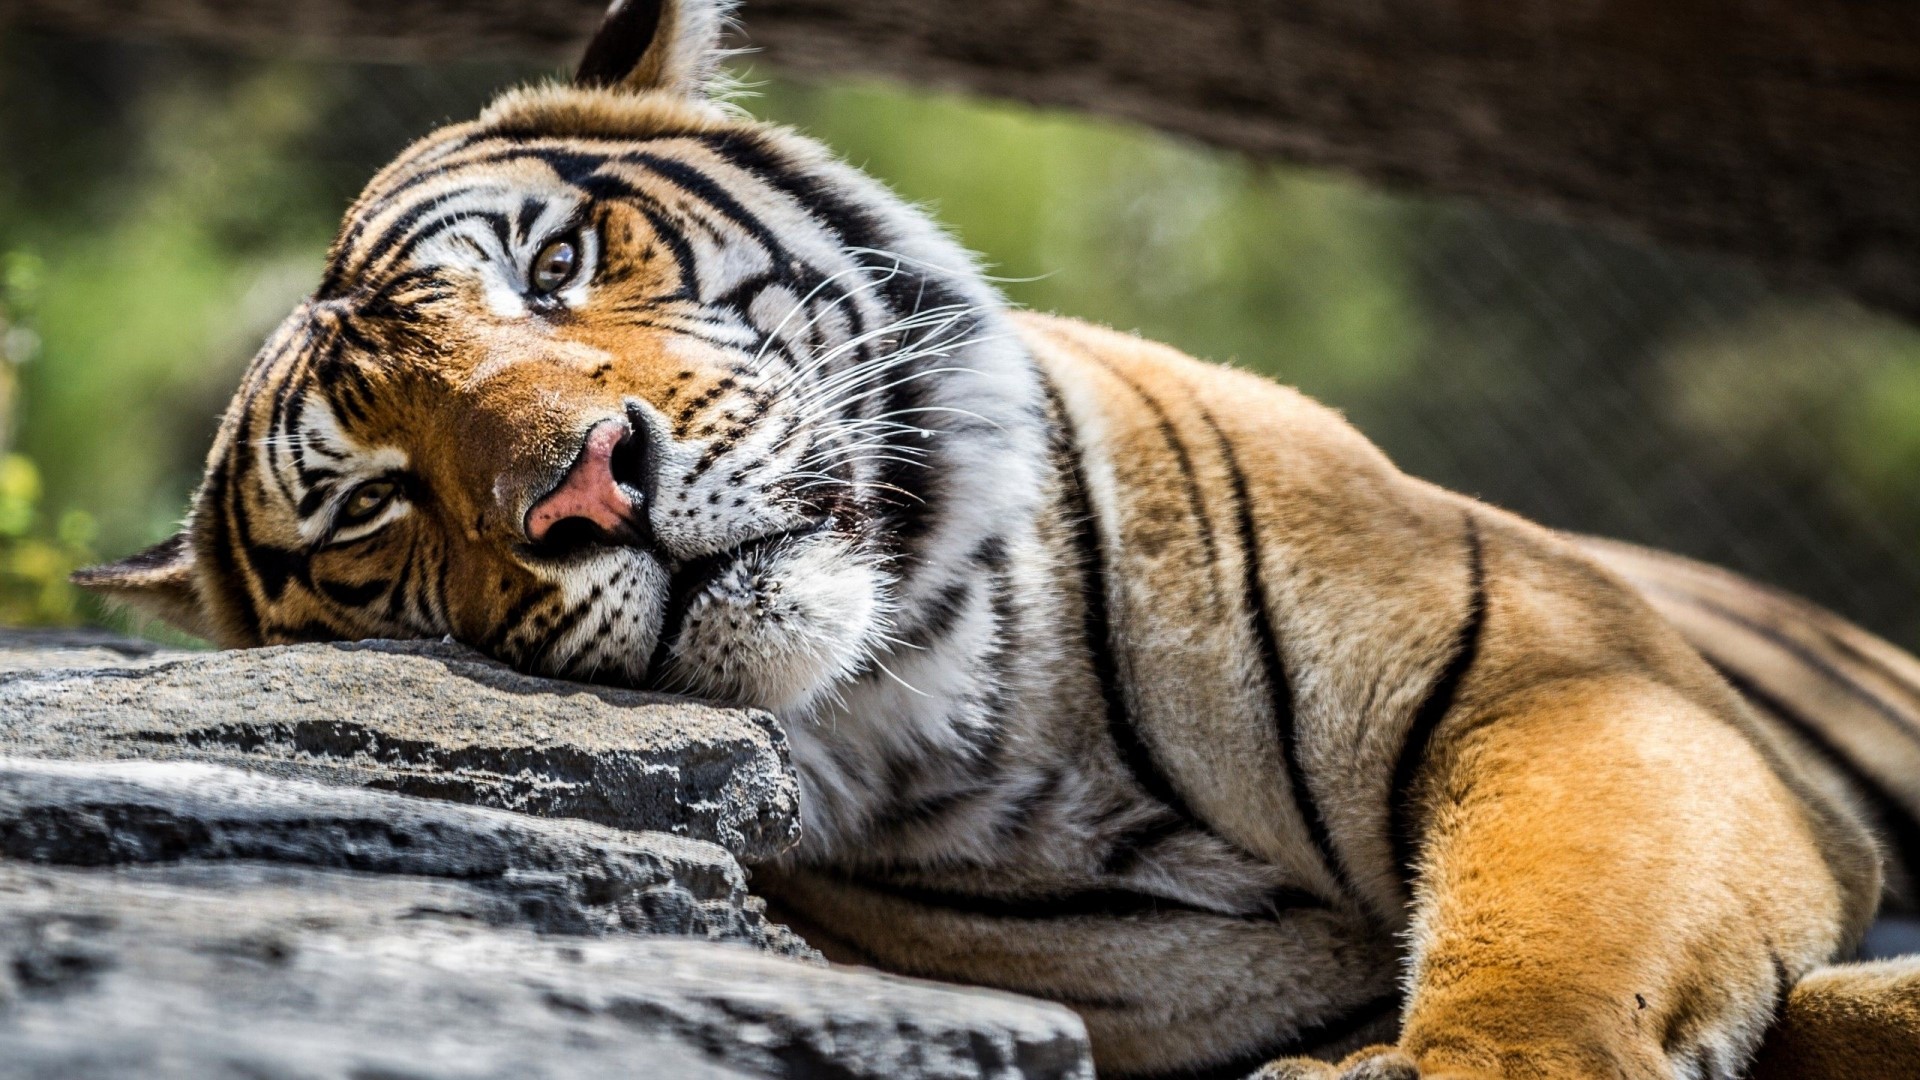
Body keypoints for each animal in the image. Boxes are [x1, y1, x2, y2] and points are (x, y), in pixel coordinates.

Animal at [71, 1, 1920, 1077]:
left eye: (554, 266)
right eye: (375, 500)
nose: (591, 486)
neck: (968, 696)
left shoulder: (1562, 680)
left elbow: (1555, 931)